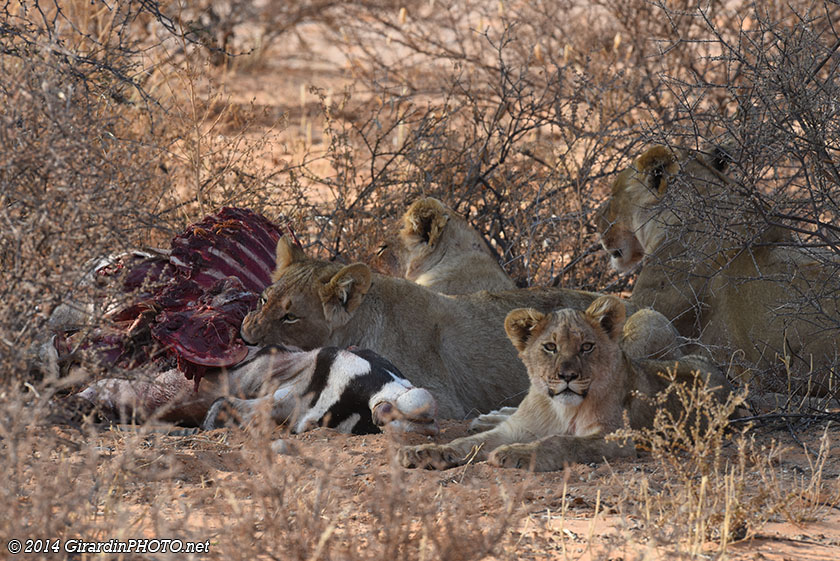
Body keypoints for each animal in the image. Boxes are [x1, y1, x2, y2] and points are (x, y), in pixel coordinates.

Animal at [398, 295, 734, 471]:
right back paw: (487, 417)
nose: (567, 376)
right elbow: (468, 444)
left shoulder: (617, 438)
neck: (559, 409)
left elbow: (560, 441)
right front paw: (423, 453)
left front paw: (518, 454)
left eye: (586, 347)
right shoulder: (516, 428)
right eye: (550, 347)